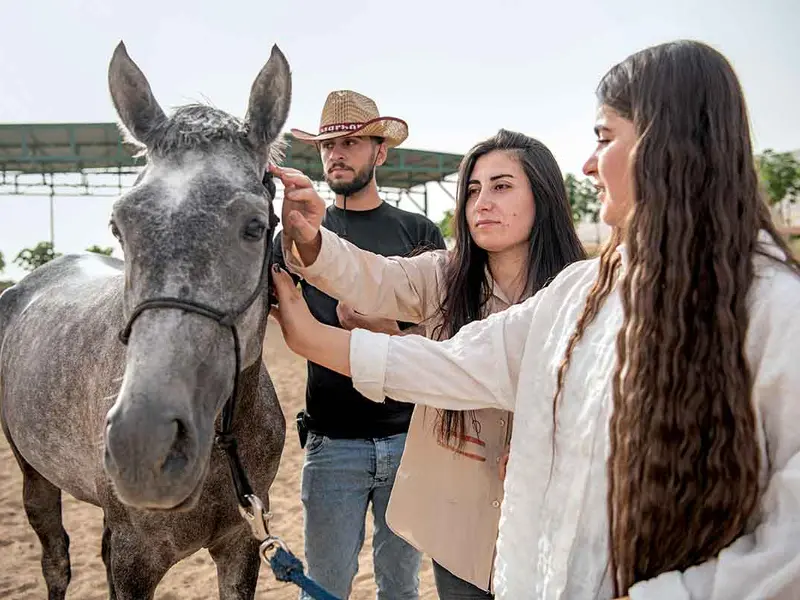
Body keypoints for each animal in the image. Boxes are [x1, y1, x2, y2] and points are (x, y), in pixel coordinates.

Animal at [0, 39, 294, 596]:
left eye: (255, 225)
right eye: (118, 224)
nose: (143, 445)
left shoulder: (242, 545)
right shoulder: (136, 559)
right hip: (35, 477)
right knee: (56, 559)